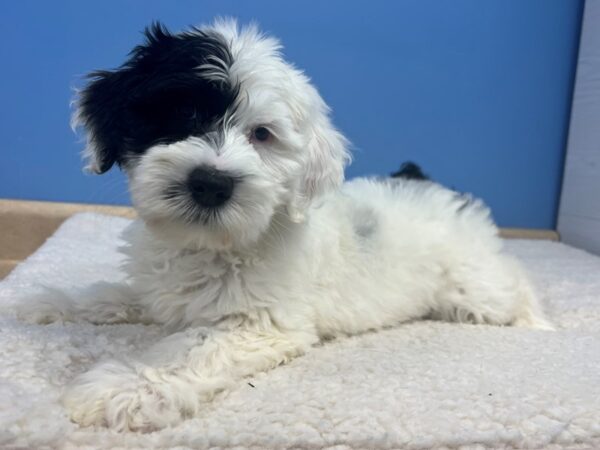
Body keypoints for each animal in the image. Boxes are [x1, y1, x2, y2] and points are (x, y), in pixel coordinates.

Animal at [17, 18, 552, 432]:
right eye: (183, 113)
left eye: (262, 135)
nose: (210, 182)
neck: (212, 243)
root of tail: (429, 184)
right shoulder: (160, 288)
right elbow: (116, 294)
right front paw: (50, 303)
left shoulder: (261, 323)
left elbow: (189, 348)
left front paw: (125, 386)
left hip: (473, 285)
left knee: (512, 284)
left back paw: (542, 324)